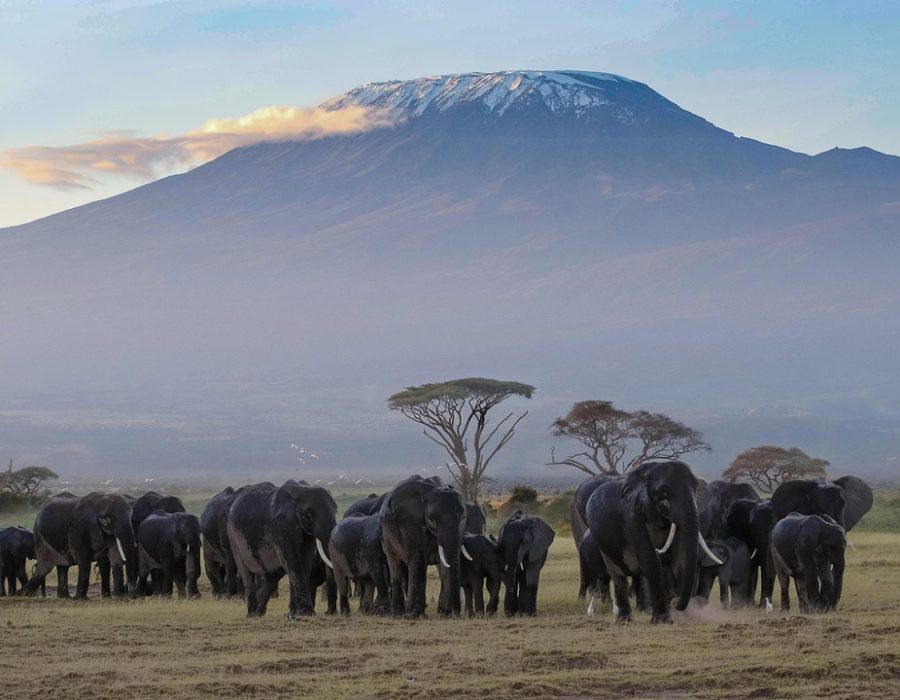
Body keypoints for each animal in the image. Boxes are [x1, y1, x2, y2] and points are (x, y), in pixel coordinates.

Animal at [227, 480, 337, 618]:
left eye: (336, 510)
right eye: (308, 515)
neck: (301, 492)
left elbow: (305, 560)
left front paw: (294, 614)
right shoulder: (281, 526)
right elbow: (293, 561)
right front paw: (305, 613)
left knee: (274, 574)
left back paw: (259, 611)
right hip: (233, 538)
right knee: (247, 573)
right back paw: (252, 614)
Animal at [380, 475, 466, 617]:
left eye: (462, 517)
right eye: (433, 518)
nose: (456, 613)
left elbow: (445, 564)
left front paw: (445, 614)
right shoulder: (410, 523)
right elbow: (417, 559)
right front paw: (413, 615)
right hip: (387, 536)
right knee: (396, 566)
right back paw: (398, 613)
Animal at [586, 460, 720, 624]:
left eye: (696, 489)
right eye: (663, 492)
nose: (675, 602)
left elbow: (680, 559)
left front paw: (684, 618)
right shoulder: (633, 518)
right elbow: (650, 559)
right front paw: (662, 621)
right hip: (603, 546)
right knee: (618, 575)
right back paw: (624, 621)